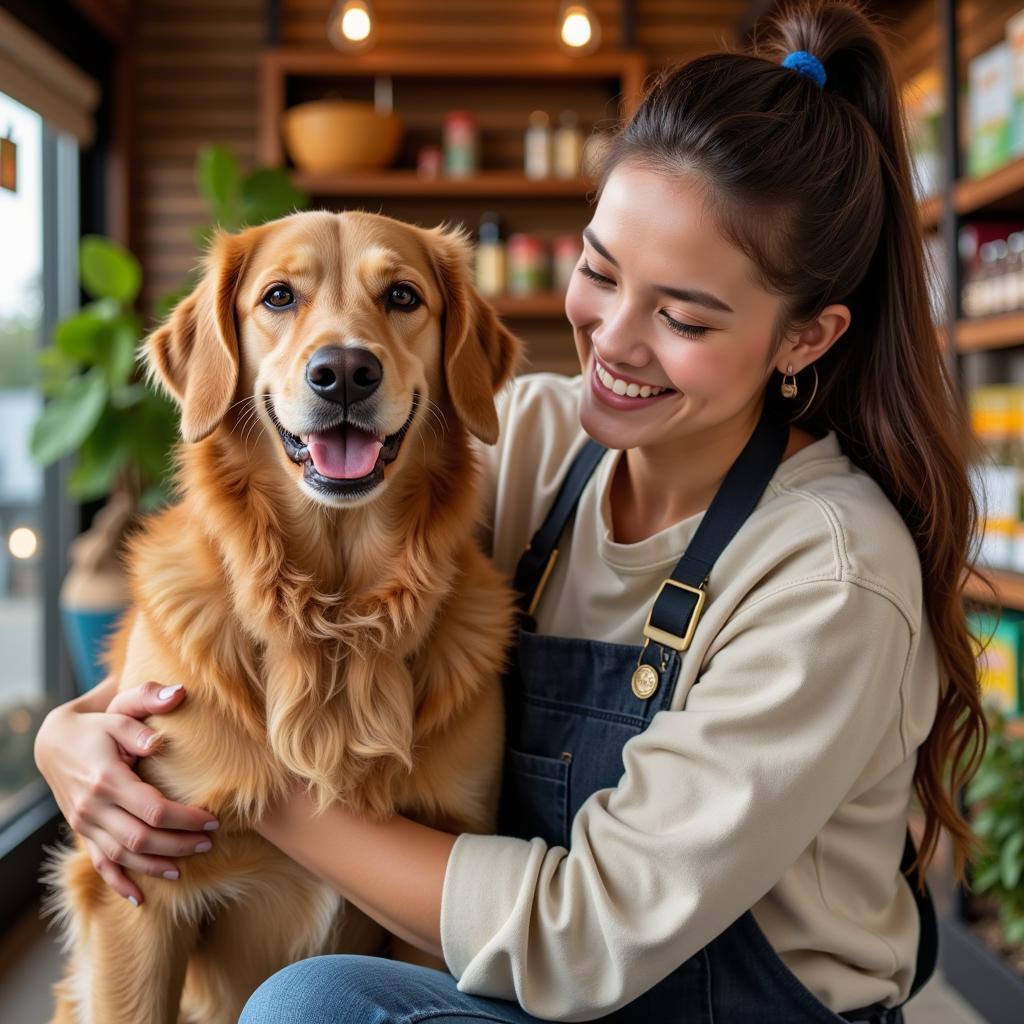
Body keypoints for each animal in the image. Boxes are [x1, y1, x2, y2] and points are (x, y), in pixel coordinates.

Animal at [41, 209, 520, 1024]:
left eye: (402, 295)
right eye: (278, 297)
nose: (345, 371)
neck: (334, 612)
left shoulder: (443, 870)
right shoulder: (137, 888)